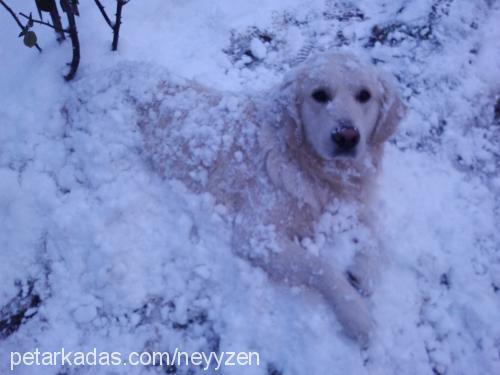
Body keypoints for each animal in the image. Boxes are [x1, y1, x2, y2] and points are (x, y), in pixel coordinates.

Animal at [137, 51, 406, 346]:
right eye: (319, 95)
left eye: (364, 95)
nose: (346, 136)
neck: (315, 170)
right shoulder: (256, 236)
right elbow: (320, 266)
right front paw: (355, 313)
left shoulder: (353, 202)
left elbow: (375, 236)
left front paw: (364, 272)